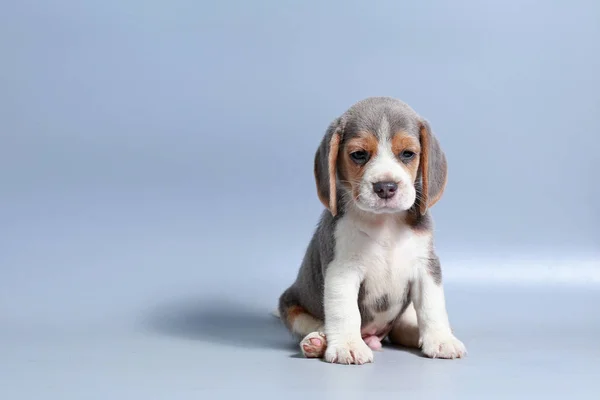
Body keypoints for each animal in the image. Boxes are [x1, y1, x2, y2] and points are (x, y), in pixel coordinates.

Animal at [274, 95, 466, 364]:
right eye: (359, 155)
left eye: (407, 154)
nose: (385, 186)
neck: (384, 222)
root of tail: (375, 335)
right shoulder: (342, 270)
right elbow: (345, 311)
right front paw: (347, 345)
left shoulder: (427, 267)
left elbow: (432, 306)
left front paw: (441, 340)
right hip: (292, 307)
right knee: (316, 323)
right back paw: (318, 342)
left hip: (401, 318)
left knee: (404, 329)